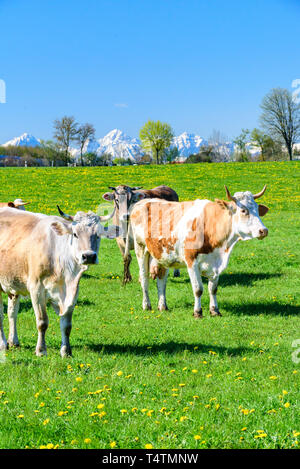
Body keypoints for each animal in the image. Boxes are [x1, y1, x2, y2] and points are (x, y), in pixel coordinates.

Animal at [0, 205, 120, 354]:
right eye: (75, 234)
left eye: (98, 234)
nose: (89, 256)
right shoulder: (36, 289)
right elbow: (42, 322)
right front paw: (41, 350)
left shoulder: (73, 292)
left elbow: (67, 325)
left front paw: (66, 351)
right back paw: (3, 344)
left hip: (13, 284)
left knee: (12, 312)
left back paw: (13, 341)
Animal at [130, 185, 268, 316]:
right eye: (243, 210)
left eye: (257, 209)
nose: (264, 230)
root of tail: (144, 201)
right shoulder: (191, 261)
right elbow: (198, 289)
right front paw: (197, 312)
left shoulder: (216, 264)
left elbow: (213, 289)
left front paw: (215, 310)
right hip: (140, 249)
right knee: (144, 278)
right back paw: (146, 305)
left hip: (162, 254)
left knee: (162, 279)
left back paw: (163, 306)